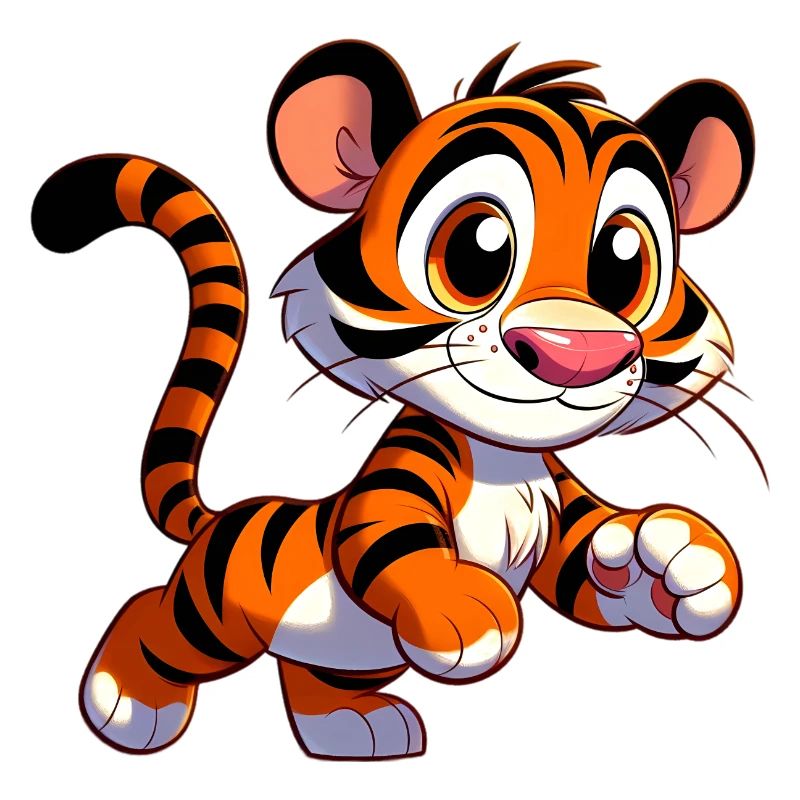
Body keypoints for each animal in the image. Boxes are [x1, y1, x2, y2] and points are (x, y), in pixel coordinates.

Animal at [31, 40, 755, 760]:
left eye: (624, 260)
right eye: (477, 248)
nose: (577, 352)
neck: (505, 462)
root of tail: (222, 517)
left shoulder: (558, 507)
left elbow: (592, 560)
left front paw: (678, 563)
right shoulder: (403, 473)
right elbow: (388, 536)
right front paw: (465, 609)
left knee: (309, 678)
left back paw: (355, 726)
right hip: (213, 615)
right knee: (153, 615)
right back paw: (126, 703)